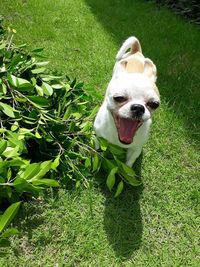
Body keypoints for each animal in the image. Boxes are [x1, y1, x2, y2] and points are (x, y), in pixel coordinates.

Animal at [94, 37, 161, 168]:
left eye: (154, 104)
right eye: (119, 98)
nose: (138, 107)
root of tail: (136, 51)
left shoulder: (136, 149)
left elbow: (128, 164)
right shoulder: (98, 138)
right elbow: (97, 152)